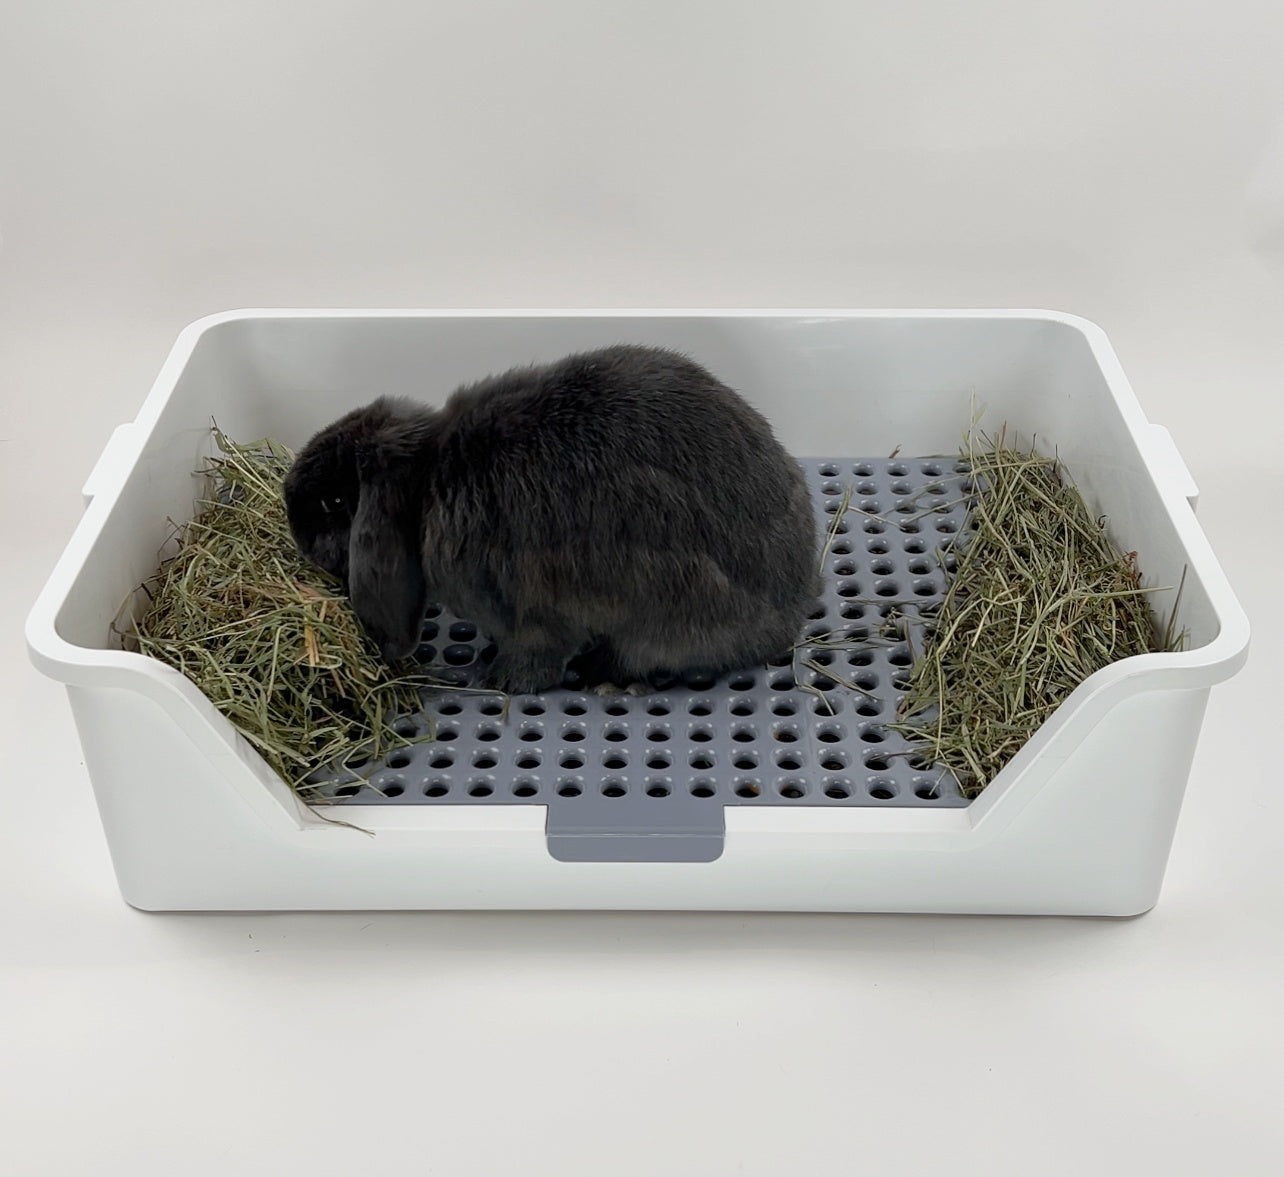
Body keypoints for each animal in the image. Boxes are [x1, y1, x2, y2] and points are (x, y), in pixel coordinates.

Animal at [283, 344, 821, 695]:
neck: (428, 480)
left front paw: (499, 681)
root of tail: (792, 613)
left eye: (335, 501)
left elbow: (536, 656)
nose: (294, 528)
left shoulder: (533, 611)